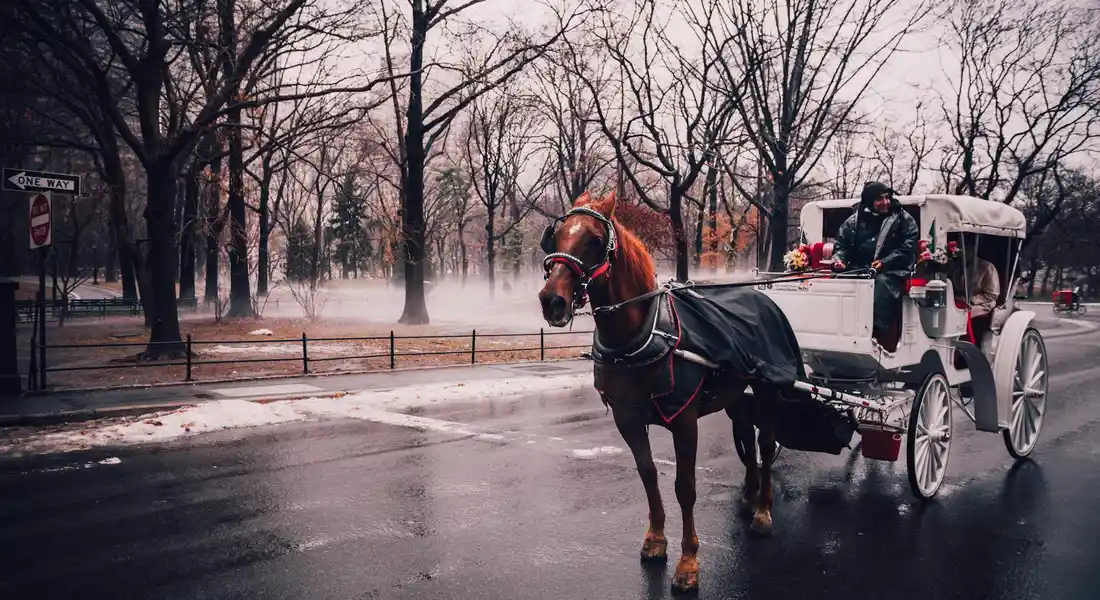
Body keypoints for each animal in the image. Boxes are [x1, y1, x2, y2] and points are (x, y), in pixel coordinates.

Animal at [537, 191, 803, 594]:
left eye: (595, 240)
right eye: (554, 236)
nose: (552, 300)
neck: (641, 334)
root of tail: (762, 299)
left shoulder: (684, 419)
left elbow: (685, 487)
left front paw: (689, 561)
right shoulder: (628, 418)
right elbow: (648, 474)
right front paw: (656, 539)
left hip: (767, 388)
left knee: (767, 444)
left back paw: (762, 510)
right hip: (736, 395)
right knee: (747, 435)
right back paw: (749, 494)